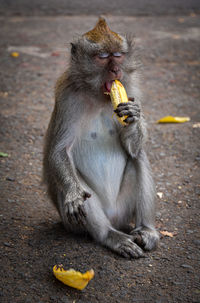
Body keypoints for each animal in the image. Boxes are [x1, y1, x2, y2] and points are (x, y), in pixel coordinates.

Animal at [43, 17, 159, 258]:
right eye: (103, 56)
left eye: (119, 55)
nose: (115, 70)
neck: (98, 95)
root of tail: (114, 218)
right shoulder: (67, 97)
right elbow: (59, 150)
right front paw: (74, 193)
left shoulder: (131, 89)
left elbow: (133, 148)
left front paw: (133, 116)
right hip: (73, 223)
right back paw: (109, 236)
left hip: (124, 210)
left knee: (139, 157)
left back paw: (146, 230)